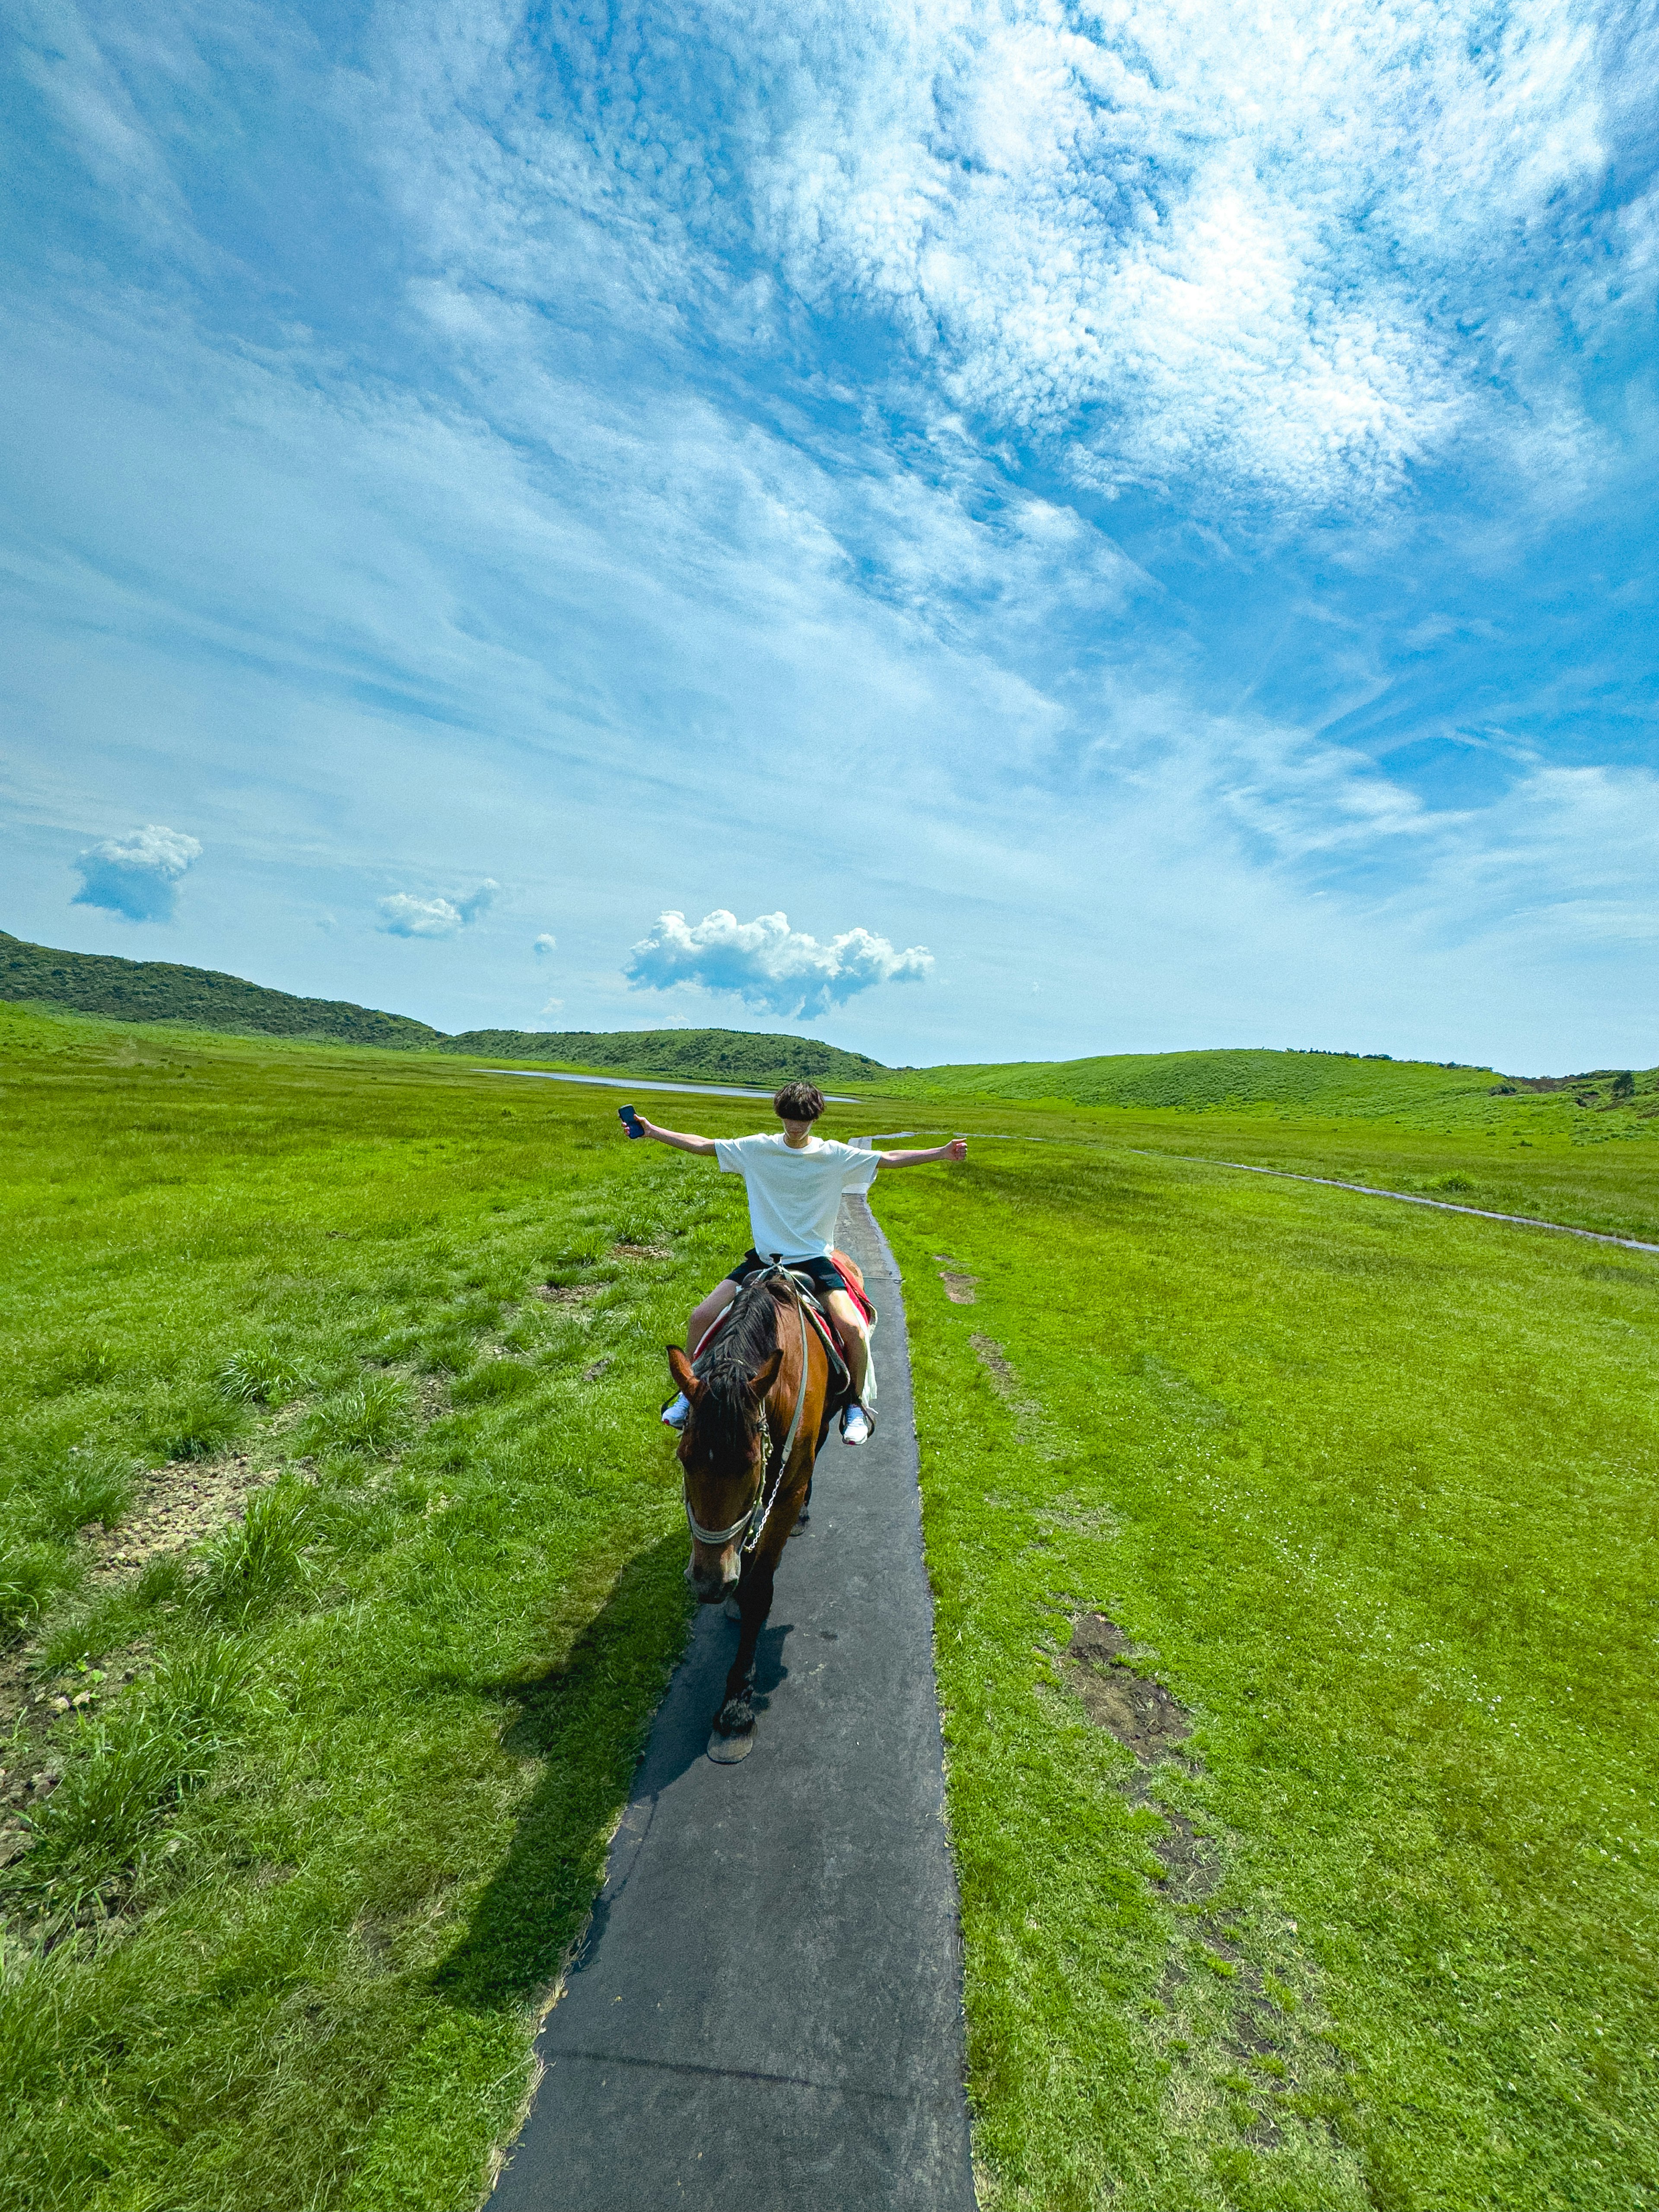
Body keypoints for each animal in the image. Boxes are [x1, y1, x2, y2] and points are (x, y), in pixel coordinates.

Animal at [668, 1265, 862, 1761]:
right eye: (684, 1458)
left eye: (749, 1463)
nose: (709, 1583)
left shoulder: (787, 1483)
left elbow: (760, 1590)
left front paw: (736, 1708)